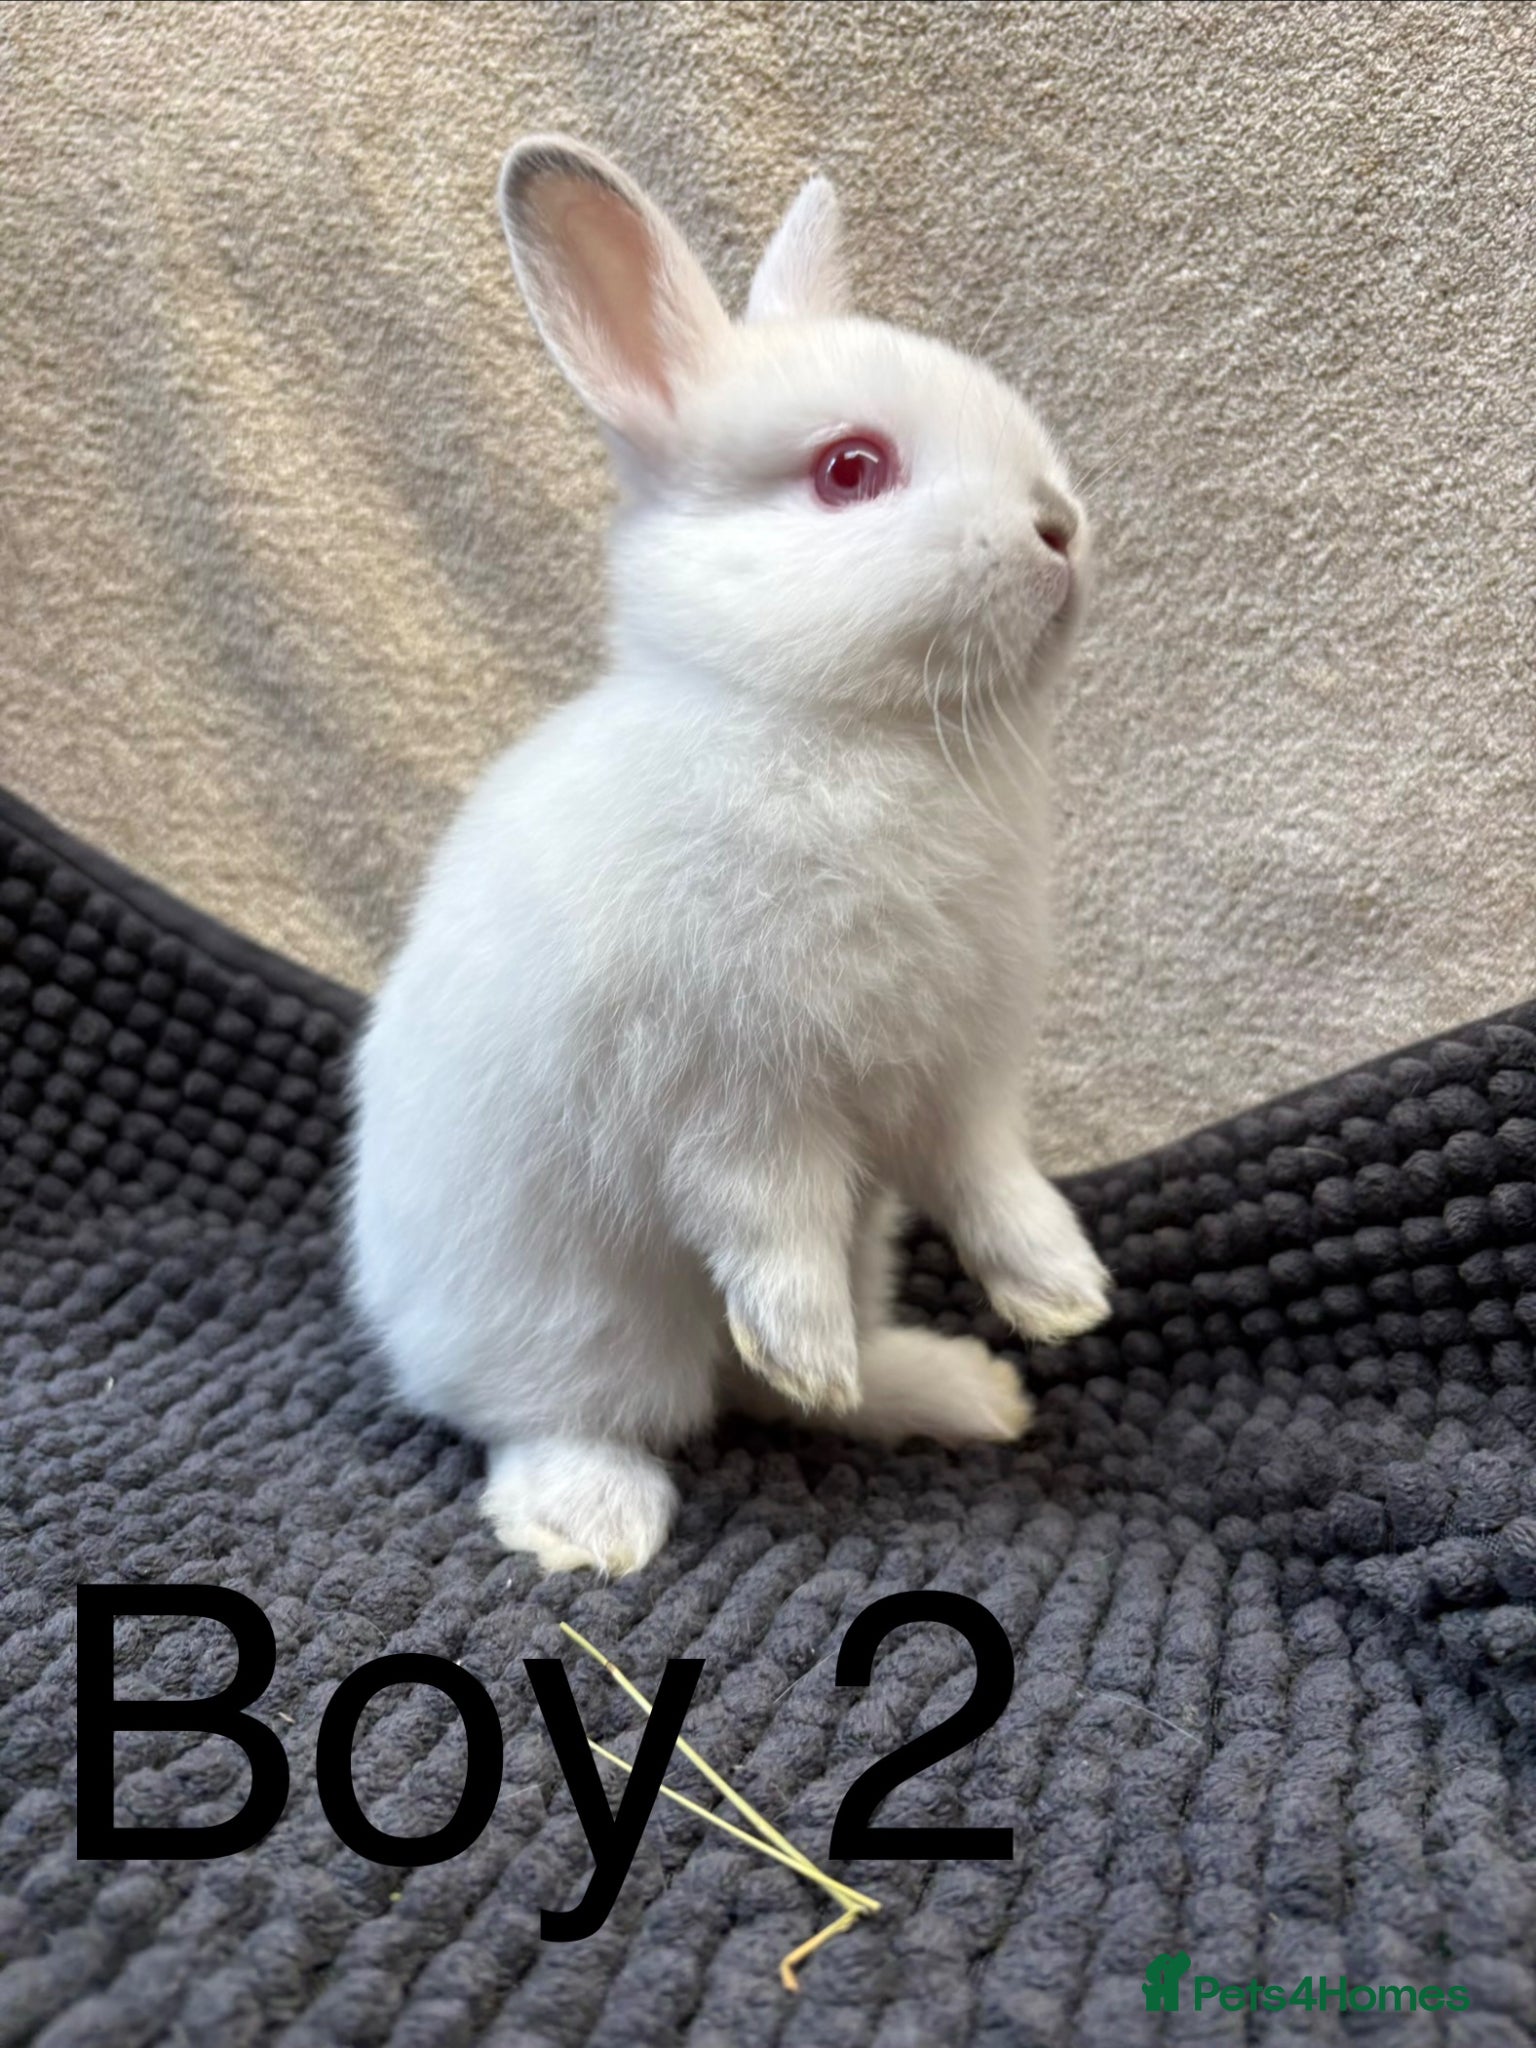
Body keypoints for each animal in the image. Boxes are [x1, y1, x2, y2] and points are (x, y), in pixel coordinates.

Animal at [346, 135, 1113, 1577]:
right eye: (852, 470)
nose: (1060, 528)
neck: (832, 728)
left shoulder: (960, 1079)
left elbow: (993, 1181)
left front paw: (1065, 1299)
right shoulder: (734, 1094)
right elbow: (769, 1222)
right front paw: (804, 1343)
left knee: (796, 1392)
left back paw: (953, 1389)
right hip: (571, 1321)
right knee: (562, 1415)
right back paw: (598, 1518)